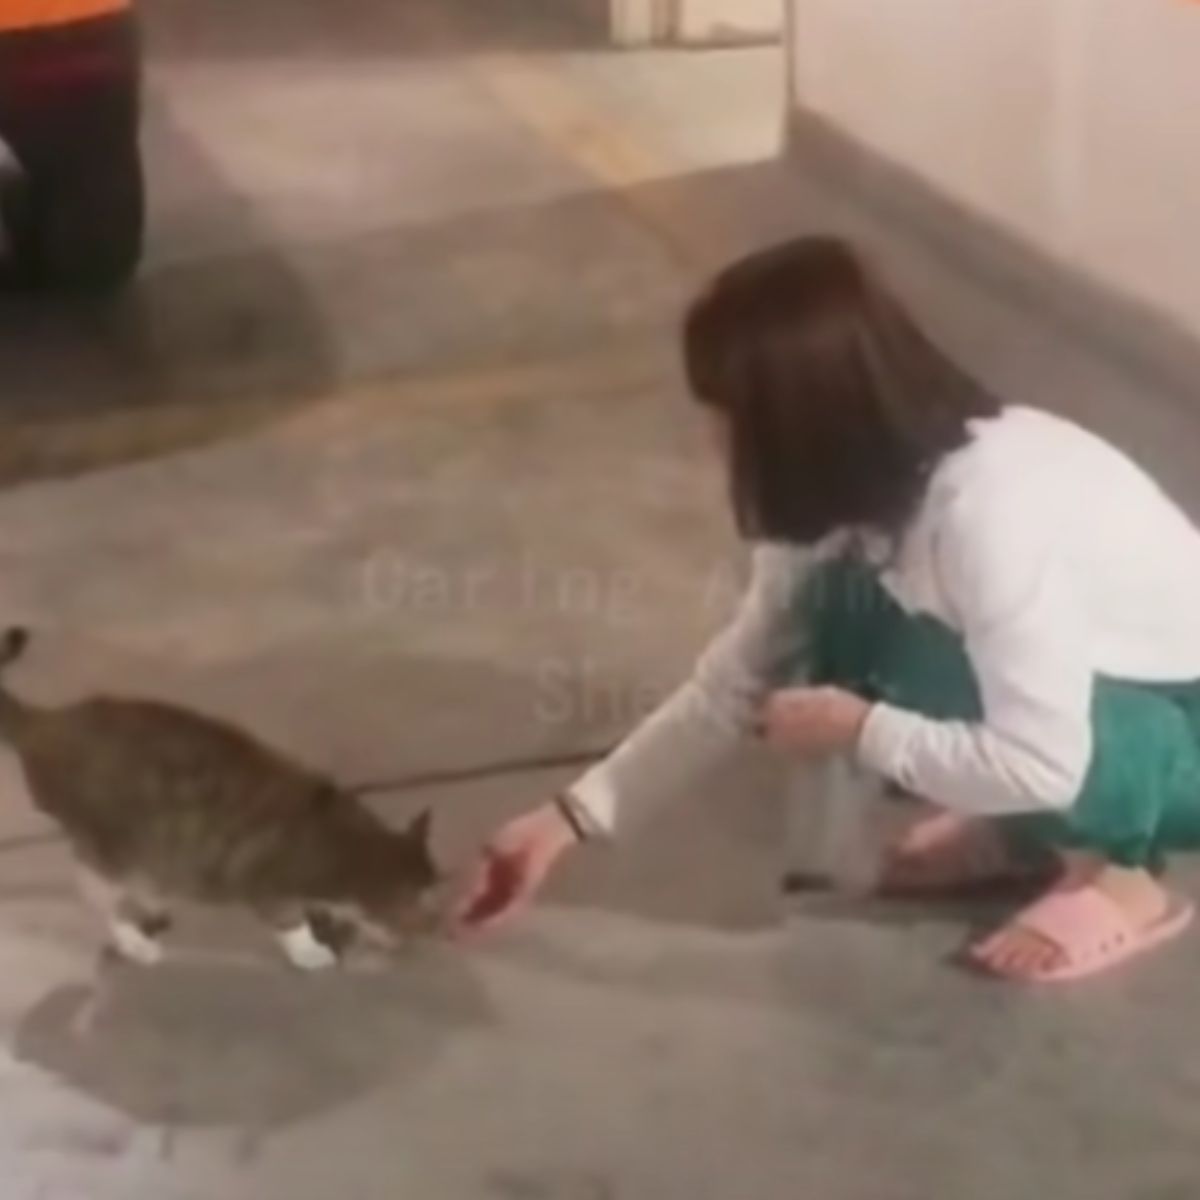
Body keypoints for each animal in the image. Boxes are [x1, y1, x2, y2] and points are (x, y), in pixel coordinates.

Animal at [0, 633, 441, 969]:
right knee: (99, 895)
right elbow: (287, 920)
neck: (346, 841)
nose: (423, 933)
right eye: (410, 916)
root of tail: (48, 722)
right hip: (110, 847)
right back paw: (135, 938)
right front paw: (310, 949)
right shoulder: (269, 884)